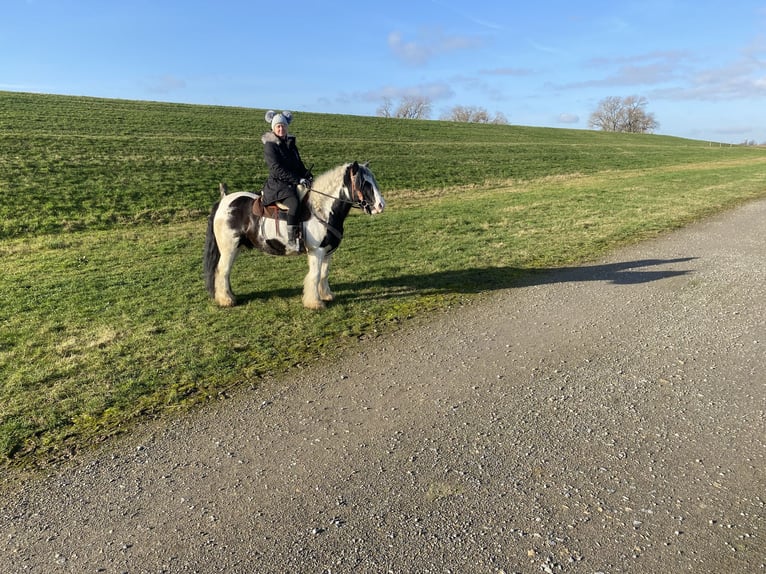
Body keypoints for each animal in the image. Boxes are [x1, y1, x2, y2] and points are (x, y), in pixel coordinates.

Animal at [204, 162, 388, 310]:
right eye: (364, 183)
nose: (381, 205)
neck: (321, 209)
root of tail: (224, 201)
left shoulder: (328, 252)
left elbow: (324, 274)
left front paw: (326, 295)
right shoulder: (317, 251)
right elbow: (314, 275)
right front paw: (314, 303)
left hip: (235, 249)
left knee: (225, 272)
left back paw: (229, 296)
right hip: (229, 248)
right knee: (222, 271)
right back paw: (226, 300)